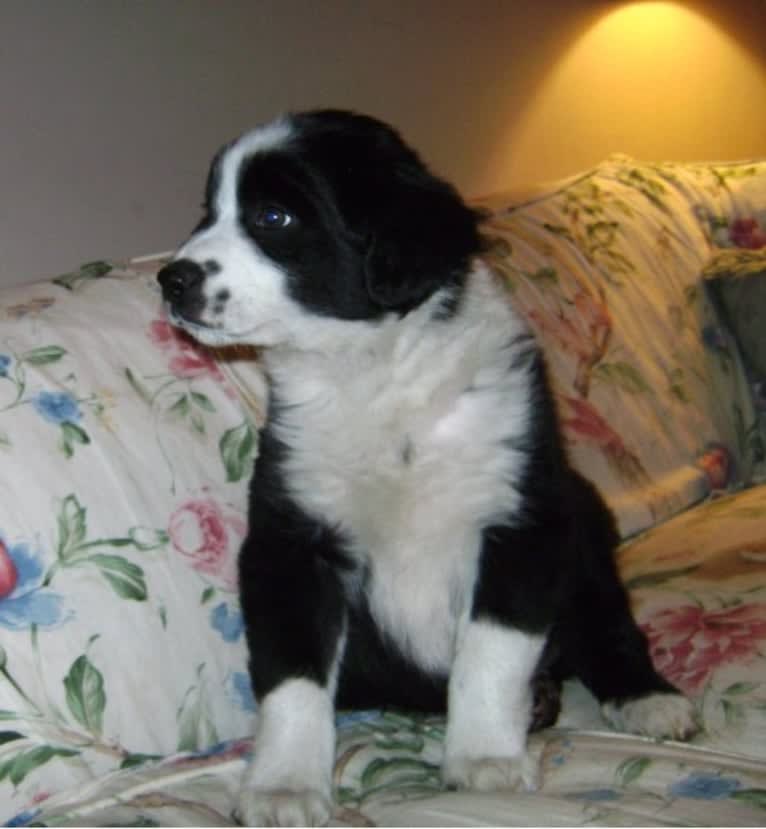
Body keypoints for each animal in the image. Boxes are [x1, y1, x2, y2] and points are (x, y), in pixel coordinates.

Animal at [159, 108, 700, 820]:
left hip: (585, 531)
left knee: (607, 623)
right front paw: (284, 785)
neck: (376, 374)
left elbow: (490, 652)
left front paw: (484, 758)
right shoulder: (292, 540)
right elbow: (292, 677)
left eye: (274, 217)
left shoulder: (521, 521)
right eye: (208, 212)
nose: (170, 279)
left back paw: (648, 700)